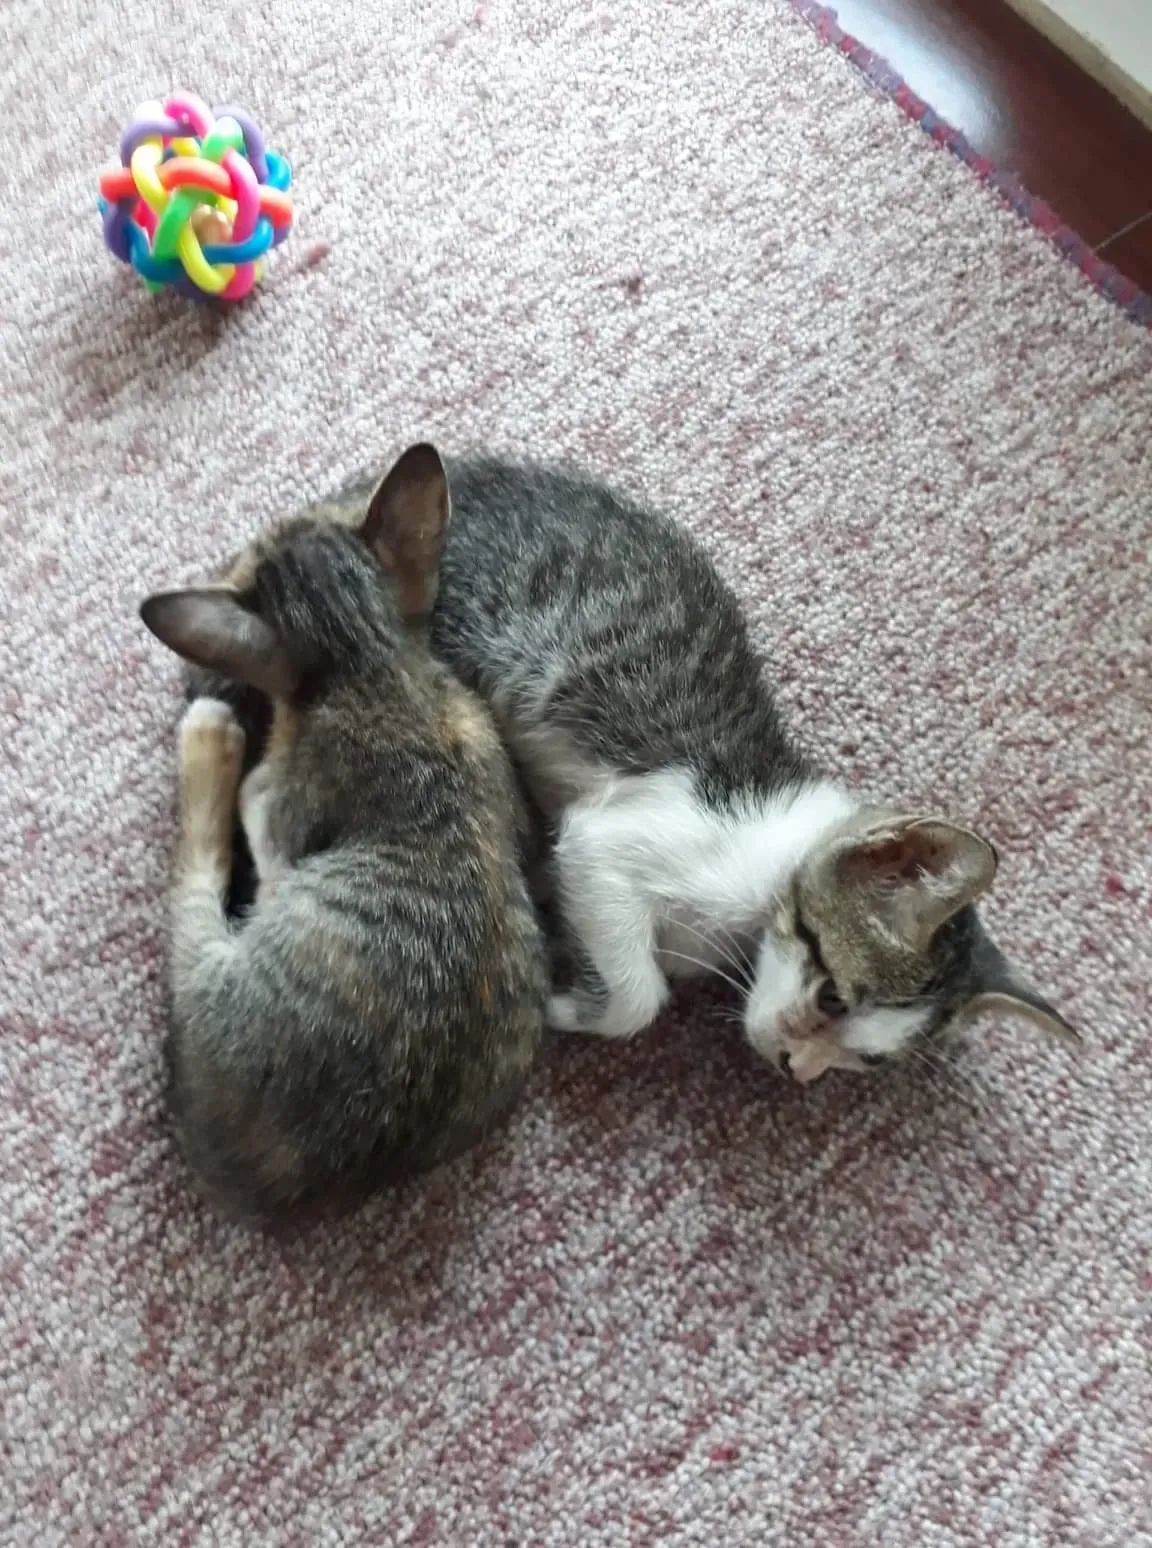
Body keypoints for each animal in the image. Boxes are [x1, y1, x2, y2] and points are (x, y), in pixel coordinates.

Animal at [140, 443, 548, 1223]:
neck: (372, 666)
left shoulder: (278, 817)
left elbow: (256, 814)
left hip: (218, 960)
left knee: (196, 875)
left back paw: (209, 740)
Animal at [197, 450, 1078, 1087]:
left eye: (863, 1057)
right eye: (831, 994)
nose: (796, 1069)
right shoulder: (609, 835)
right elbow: (638, 995)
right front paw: (567, 1002)